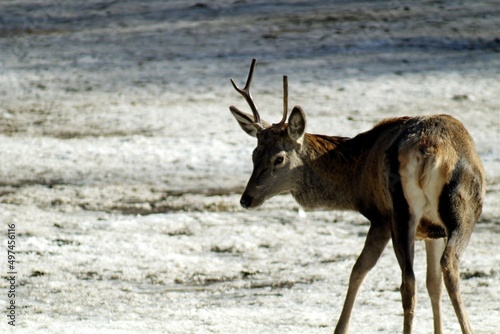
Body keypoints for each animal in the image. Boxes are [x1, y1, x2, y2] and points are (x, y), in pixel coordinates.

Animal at [229, 58, 484, 332]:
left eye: (278, 158)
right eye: (254, 154)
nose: (246, 199)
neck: (357, 177)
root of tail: (429, 151)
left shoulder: (403, 223)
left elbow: (376, 274)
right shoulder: (407, 224)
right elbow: (416, 280)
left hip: (411, 213)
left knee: (415, 278)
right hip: (432, 213)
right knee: (432, 271)